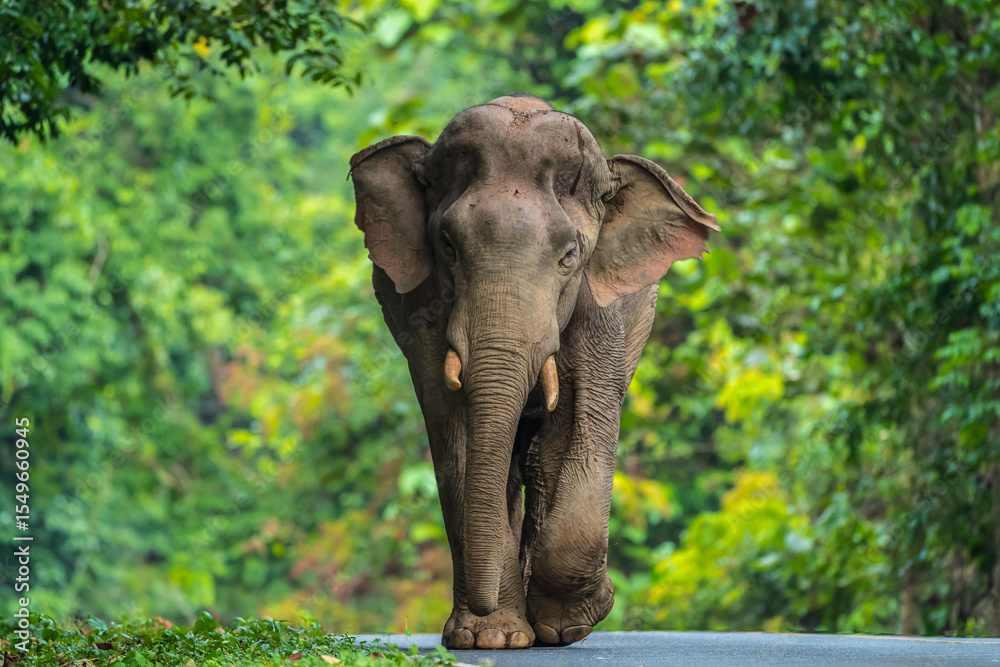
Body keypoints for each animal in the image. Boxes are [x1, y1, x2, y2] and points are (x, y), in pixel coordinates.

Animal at [349, 94, 719, 650]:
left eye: (569, 255)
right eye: (447, 246)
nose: (485, 609)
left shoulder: (599, 310)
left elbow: (585, 417)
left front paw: (573, 620)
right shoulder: (420, 309)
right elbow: (453, 431)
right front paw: (489, 637)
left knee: (542, 458)